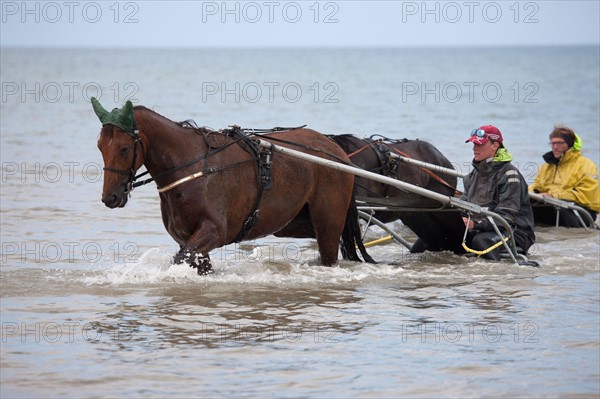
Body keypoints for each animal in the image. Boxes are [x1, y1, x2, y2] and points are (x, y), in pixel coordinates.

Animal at [92, 99, 372, 276]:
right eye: (100, 146)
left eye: (124, 148)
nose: (110, 197)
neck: (192, 168)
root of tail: (336, 151)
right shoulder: (190, 239)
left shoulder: (214, 231)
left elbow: (180, 259)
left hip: (327, 221)